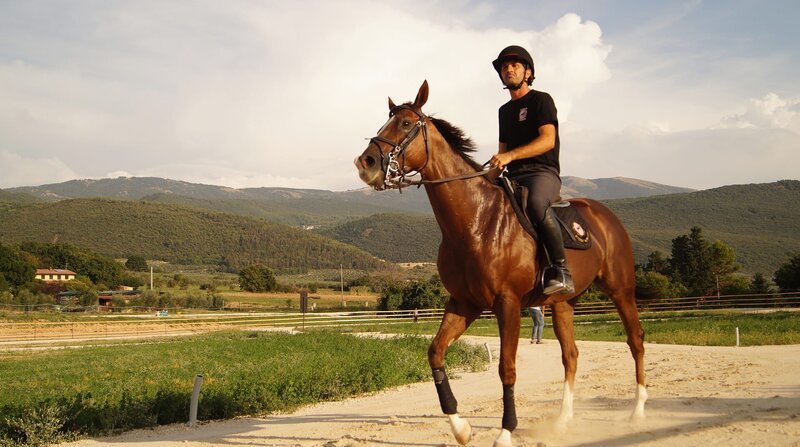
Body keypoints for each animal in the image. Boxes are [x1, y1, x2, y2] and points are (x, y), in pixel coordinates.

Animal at [355, 80, 646, 447]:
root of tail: (606, 216)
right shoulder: (463, 303)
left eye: (406, 123)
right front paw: (461, 428)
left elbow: (506, 367)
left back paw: (637, 412)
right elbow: (435, 352)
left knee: (635, 340)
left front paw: (506, 432)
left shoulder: (507, 304)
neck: (476, 221)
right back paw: (562, 422)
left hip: (621, 290)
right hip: (563, 303)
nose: (365, 162)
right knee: (571, 356)